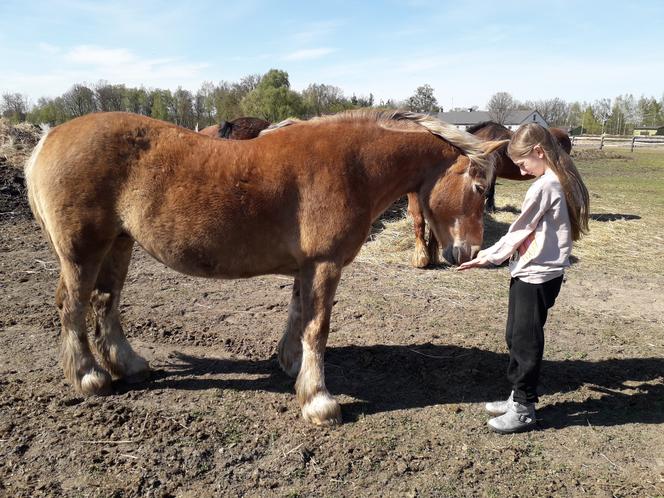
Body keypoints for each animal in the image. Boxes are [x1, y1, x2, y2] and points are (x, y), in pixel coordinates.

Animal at [24, 111, 504, 426]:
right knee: (73, 306)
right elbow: (318, 328)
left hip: (118, 245)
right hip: (83, 252)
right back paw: (89, 376)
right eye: (480, 188)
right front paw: (319, 401)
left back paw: (128, 364)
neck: (351, 164)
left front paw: (292, 367)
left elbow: (298, 317)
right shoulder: (325, 264)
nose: (467, 252)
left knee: (106, 303)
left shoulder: (307, 267)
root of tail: (50, 138)